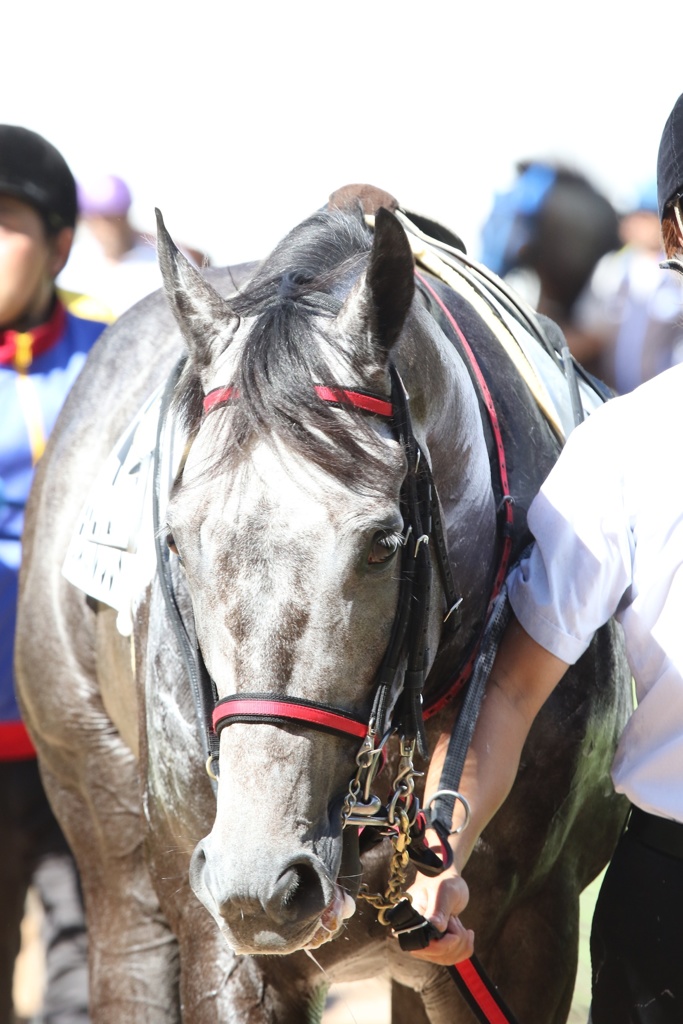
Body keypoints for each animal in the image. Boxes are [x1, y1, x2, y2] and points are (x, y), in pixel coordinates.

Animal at [14, 186, 630, 1024]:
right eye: (175, 540)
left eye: (380, 543)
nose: (261, 871)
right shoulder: (224, 946)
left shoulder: (525, 932)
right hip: (103, 823)